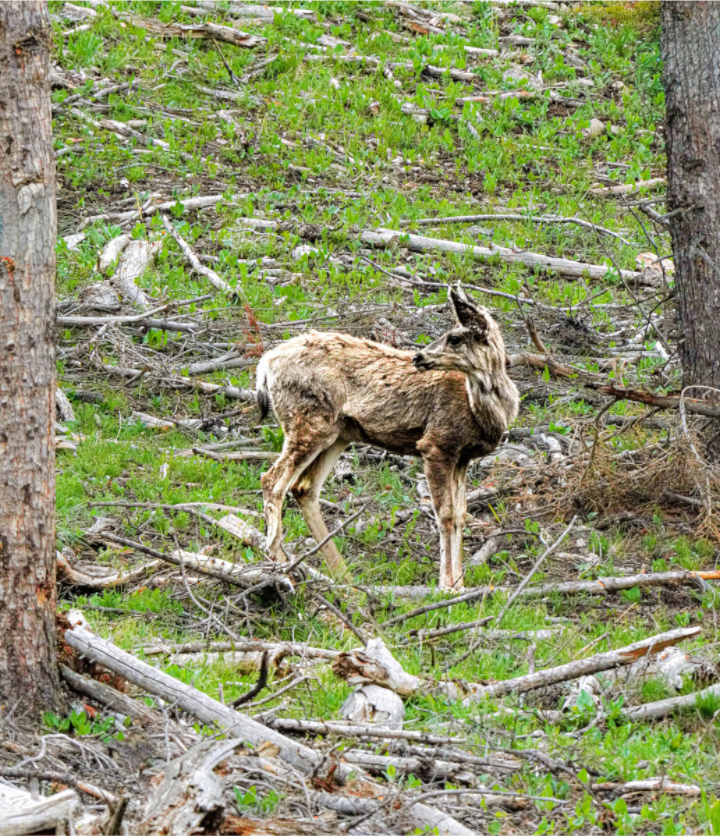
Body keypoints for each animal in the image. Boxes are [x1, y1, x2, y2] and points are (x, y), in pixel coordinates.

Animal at [255, 286, 519, 590]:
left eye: (454, 337)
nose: (418, 357)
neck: (483, 411)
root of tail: (265, 365)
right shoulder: (436, 444)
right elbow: (445, 514)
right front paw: (446, 586)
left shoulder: (462, 456)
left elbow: (461, 514)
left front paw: (460, 585)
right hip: (308, 421)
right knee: (273, 480)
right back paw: (281, 569)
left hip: (338, 433)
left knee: (303, 488)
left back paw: (343, 578)